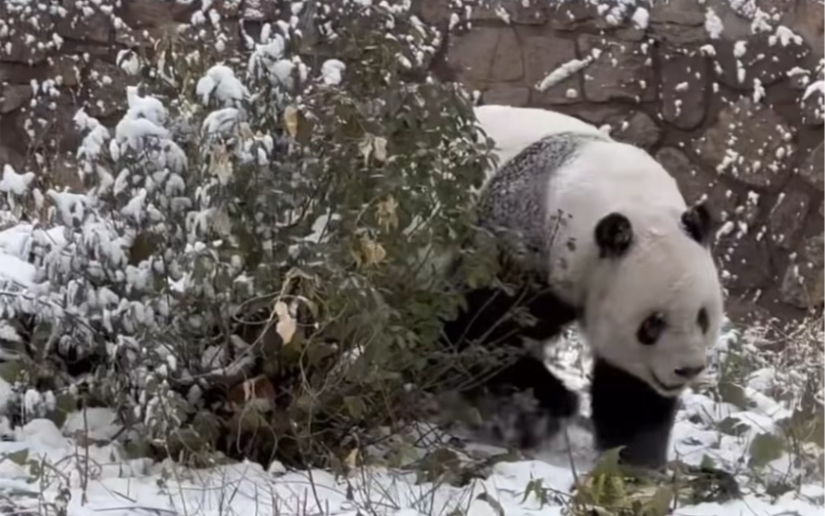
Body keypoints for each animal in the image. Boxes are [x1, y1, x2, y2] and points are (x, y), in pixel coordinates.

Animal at [438, 105, 720, 468]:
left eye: (702, 318)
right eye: (653, 323)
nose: (687, 369)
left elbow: (630, 387)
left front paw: (636, 459)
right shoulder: (515, 244)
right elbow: (474, 331)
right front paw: (550, 403)